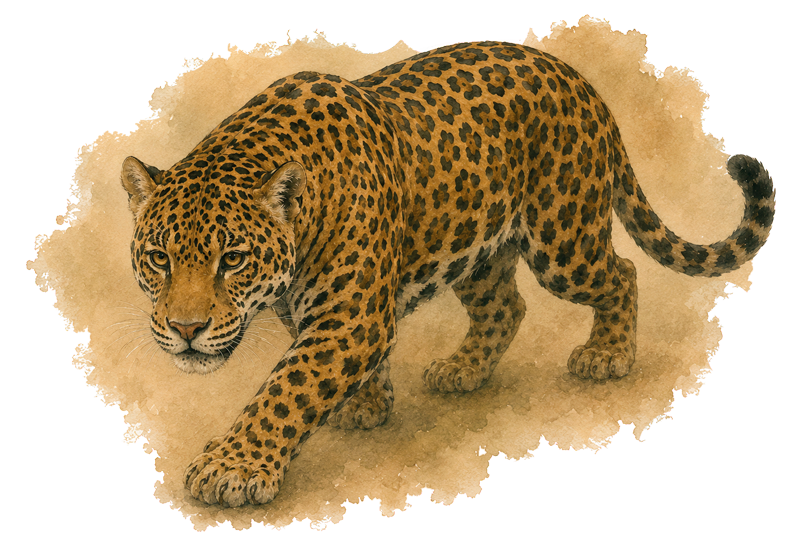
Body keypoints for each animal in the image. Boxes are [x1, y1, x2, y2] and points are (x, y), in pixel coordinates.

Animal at [120, 41, 775, 508]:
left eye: (232, 259)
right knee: (506, 307)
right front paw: (367, 403)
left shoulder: (348, 316)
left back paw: (607, 354)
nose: (184, 330)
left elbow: (288, 387)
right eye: (159, 258)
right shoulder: (337, 312)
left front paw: (232, 467)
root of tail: (579, 80)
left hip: (563, 240)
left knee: (622, 272)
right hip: (478, 246)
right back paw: (463, 369)